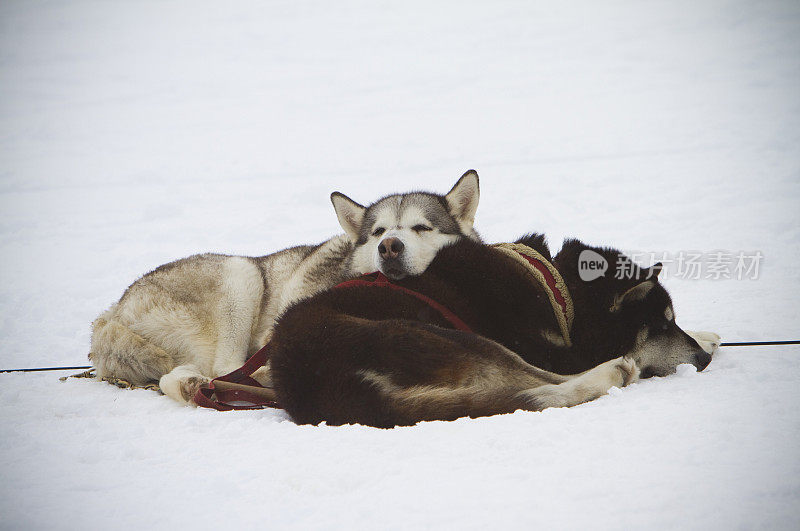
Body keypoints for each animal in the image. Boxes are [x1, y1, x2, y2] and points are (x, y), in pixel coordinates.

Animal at [92, 170, 482, 404]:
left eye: (421, 228)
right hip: (242, 275)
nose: (389, 247)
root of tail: (113, 310)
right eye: (378, 233)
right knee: (223, 368)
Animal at [268, 233, 720, 428]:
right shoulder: (550, 347)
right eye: (661, 324)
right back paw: (613, 373)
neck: (555, 288)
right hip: (443, 335)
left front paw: (708, 336)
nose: (702, 359)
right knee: (539, 388)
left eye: (672, 320)